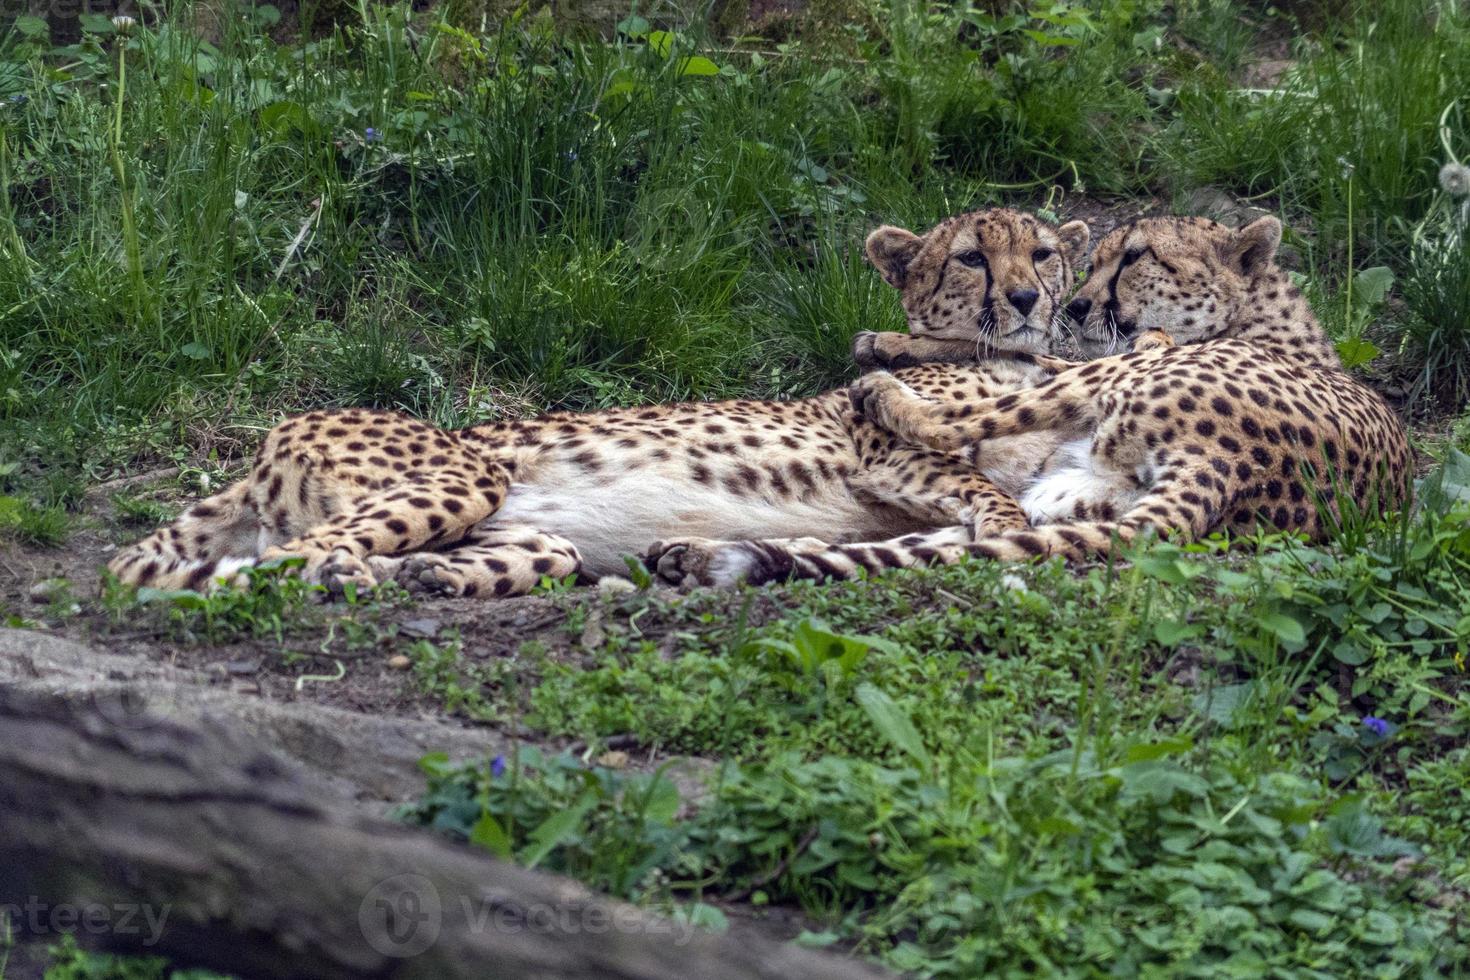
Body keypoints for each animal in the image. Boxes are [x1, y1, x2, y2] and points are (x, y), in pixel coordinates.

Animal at [106, 207, 1093, 599]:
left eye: (1042, 253)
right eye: (971, 257)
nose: (1026, 298)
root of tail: (265, 451)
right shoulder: (878, 443)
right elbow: (989, 494)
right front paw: (1003, 533)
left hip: (530, 536)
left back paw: (421, 578)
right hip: (463, 474)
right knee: (293, 560)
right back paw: (355, 577)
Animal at [649, 214, 1417, 581]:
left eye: (1135, 258)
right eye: (1092, 259)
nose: (1073, 305)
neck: (1258, 316)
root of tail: (1235, 468)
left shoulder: (1118, 354)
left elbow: (1007, 352)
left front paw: (888, 346)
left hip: (1110, 388)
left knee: (951, 434)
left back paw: (882, 394)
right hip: (1067, 493)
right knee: (970, 533)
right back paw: (695, 552)